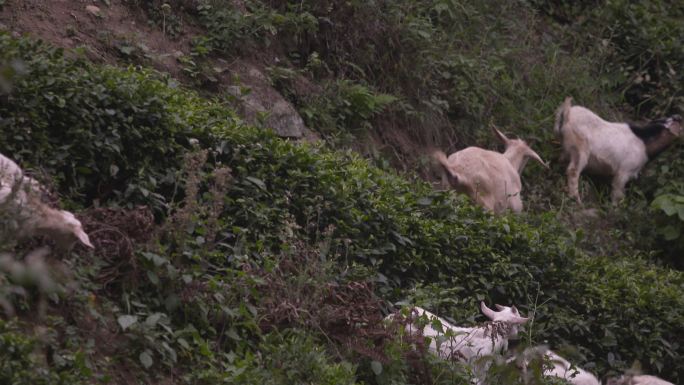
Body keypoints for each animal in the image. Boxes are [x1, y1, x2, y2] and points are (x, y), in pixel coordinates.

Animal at [552, 97, 680, 204]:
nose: (677, 116)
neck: (644, 140)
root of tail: (566, 114)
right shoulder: (624, 172)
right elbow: (618, 193)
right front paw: (615, 208)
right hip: (580, 149)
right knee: (573, 171)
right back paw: (576, 200)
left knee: (562, 160)